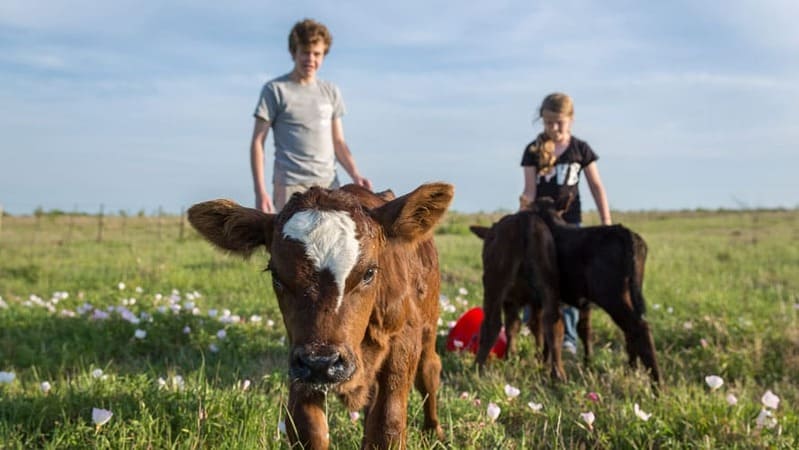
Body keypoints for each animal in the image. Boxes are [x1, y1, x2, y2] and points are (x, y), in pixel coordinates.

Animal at [187, 182, 454, 449]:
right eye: (276, 275)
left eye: (369, 273)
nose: (322, 362)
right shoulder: (301, 359)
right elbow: (308, 428)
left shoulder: (403, 340)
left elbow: (388, 426)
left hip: (429, 325)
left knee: (429, 370)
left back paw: (434, 431)